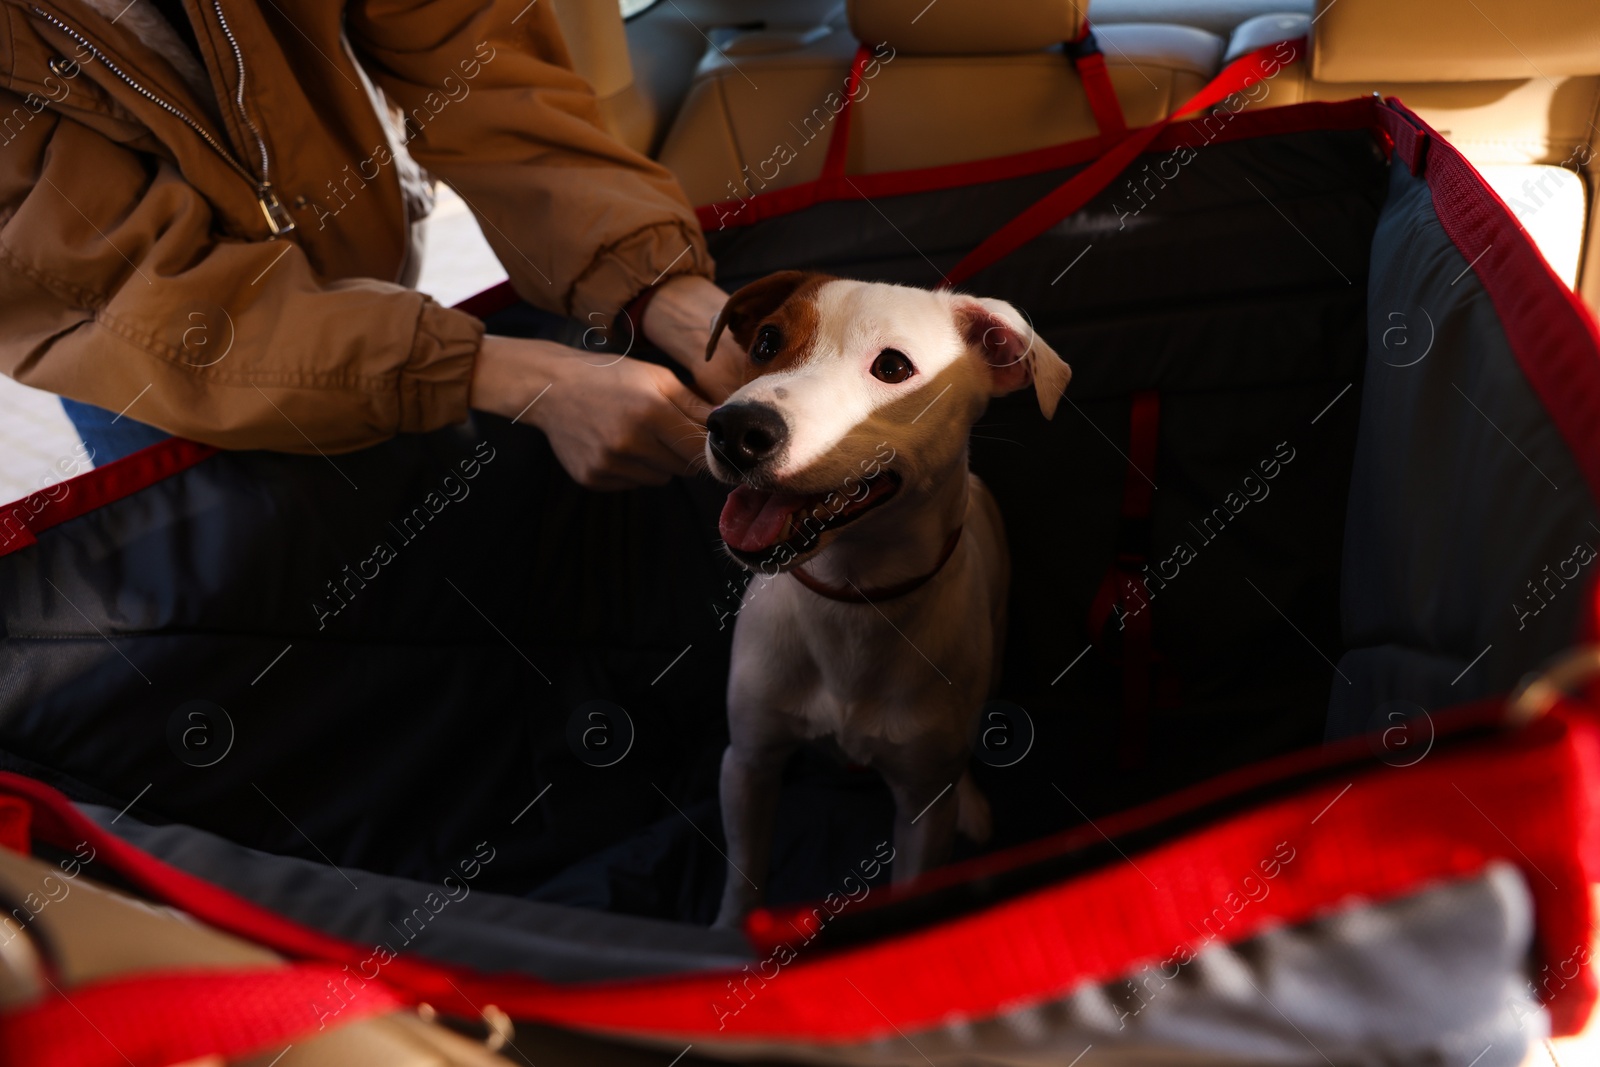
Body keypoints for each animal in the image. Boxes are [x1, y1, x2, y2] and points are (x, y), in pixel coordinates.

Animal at [704, 273, 1068, 927]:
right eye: (767, 340)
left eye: (893, 367)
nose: (736, 430)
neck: (852, 598)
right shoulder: (747, 764)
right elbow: (744, 877)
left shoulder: (922, 810)